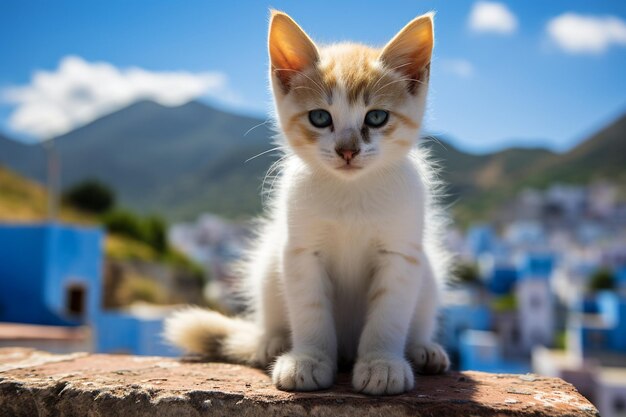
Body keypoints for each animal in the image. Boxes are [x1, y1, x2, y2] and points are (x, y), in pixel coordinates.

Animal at [165, 8, 448, 394]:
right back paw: (271, 342)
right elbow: (310, 308)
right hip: (269, 263)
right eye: (320, 117)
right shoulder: (301, 251)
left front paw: (382, 363)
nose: (347, 150)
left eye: (377, 117)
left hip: (428, 272)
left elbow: (388, 314)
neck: (350, 192)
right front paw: (309, 359)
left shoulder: (401, 253)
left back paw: (422, 349)